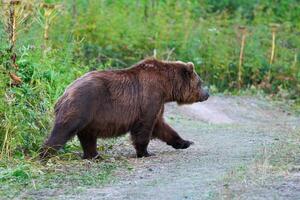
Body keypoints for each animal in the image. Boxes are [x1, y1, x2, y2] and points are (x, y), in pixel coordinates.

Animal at [39, 58, 209, 159]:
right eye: (200, 82)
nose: (207, 93)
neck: (166, 87)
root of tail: (64, 93)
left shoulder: (158, 103)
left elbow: (161, 126)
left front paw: (185, 142)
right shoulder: (150, 97)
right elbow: (144, 127)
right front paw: (145, 152)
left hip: (89, 116)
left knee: (88, 137)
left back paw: (94, 155)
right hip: (81, 105)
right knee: (63, 130)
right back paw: (45, 153)